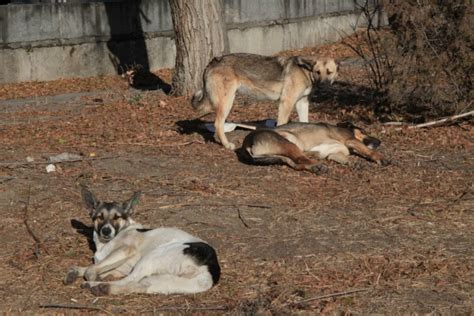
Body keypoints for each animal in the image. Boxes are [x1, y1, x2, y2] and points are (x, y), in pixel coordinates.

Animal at [64, 188, 221, 296]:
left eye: (117, 217)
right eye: (100, 217)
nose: (106, 231)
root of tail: (210, 268)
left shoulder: (125, 250)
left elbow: (91, 269)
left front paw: (91, 275)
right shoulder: (115, 265)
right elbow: (93, 266)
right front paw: (76, 271)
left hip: (153, 256)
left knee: (130, 279)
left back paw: (95, 285)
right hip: (161, 280)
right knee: (138, 285)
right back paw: (106, 288)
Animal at [193, 52, 336, 149]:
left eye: (329, 72)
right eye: (318, 72)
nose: (323, 87)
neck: (305, 70)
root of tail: (213, 62)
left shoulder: (302, 103)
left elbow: (305, 122)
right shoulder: (286, 102)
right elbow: (281, 124)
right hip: (227, 102)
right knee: (218, 124)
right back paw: (227, 145)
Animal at [241, 121, 388, 173]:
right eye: (363, 131)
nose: (380, 141)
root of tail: (245, 145)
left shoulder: (333, 154)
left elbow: (345, 158)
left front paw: (354, 162)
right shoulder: (350, 140)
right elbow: (367, 150)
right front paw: (380, 157)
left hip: (284, 153)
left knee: (298, 163)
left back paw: (314, 165)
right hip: (288, 142)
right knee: (300, 158)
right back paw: (317, 165)